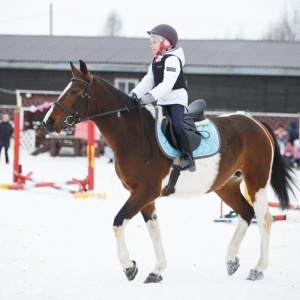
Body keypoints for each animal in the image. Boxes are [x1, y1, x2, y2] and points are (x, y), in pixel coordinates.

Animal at [42, 60, 298, 284]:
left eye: (75, 91)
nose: (47, 122)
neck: (133, 134)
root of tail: (256, 123)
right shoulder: (143, 195)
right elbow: (154, 230)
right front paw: (156, 271)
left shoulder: (146, 191)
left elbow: (118, 222)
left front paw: (129, 267)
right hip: (225, 185)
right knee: (246, 213)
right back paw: (231, 260)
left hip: (257, 182)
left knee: (264, 219)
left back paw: (258, 269)